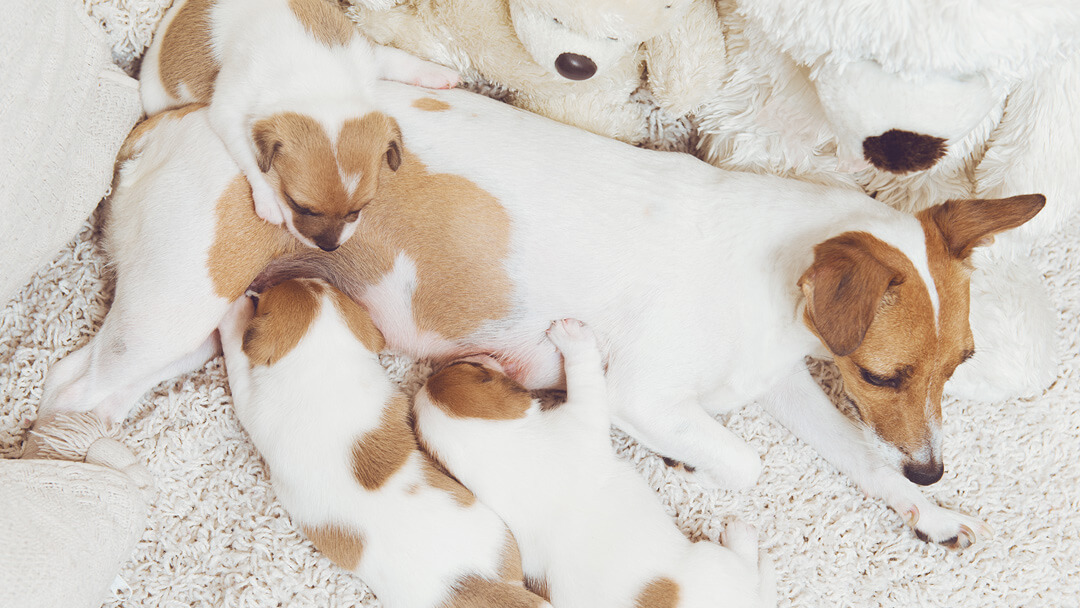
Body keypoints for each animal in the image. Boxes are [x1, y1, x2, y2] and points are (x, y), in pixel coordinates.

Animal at [38, 80, 1041, 552]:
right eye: (882, 372)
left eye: (961, 362)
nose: (932, 469)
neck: (773, 276)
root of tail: (169, 122)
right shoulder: (650, 396)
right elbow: (747, 463)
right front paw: (693, 462)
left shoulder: (786, 385)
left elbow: (857, 457)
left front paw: (926, 512)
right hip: (172, 309)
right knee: (69, 386)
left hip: (194, 326)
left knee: (106, 385)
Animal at [137, 0, 457, 249]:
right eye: (298, 205)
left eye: (359, 208)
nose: (329, 248)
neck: (317, 81)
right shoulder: (227, 110)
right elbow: (252, 160)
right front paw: (267, 199)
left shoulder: (364, 52)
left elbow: (399, 60)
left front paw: (437, 73)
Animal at [216, 276, 548, 608]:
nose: (298, 275)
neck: (322, 366)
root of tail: (473, 583)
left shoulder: (251, 403)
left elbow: (236, 358)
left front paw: (233, 313)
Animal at [412, 319, 777, 608]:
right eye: (474, 369)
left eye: (463, 366)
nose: (475, 354)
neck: (499, 453)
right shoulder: (585, 414)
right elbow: (584, 374)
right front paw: (573, 339)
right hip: (716, 563)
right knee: (750, 574)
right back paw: (744, 539)